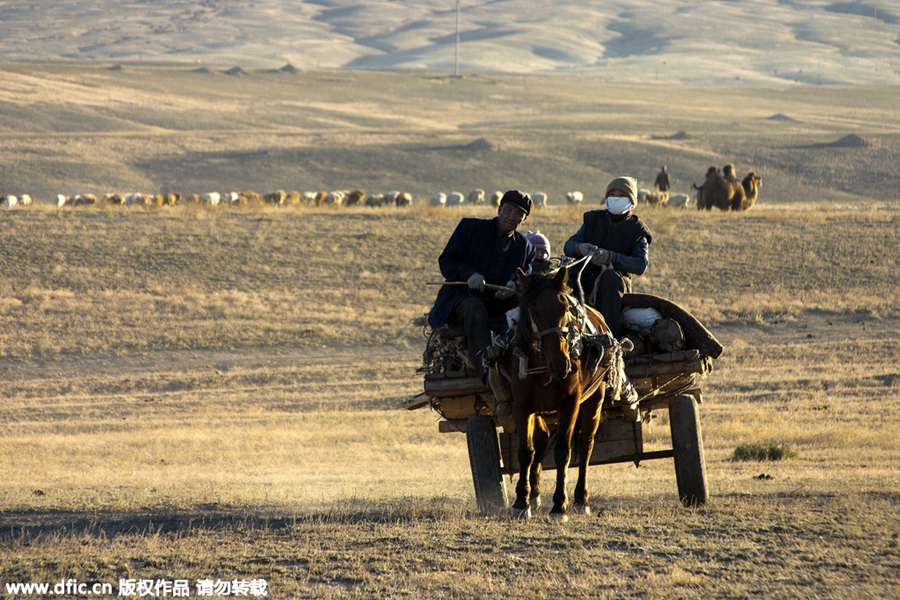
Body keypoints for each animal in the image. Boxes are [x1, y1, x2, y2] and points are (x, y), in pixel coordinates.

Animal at [510, 266, 624, 520]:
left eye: (565, 309)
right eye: (534, 311)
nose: (562, 365)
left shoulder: (569, 403)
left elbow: (563, 451)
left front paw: (559, 505)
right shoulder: (522, 405)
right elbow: (525, 452)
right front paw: (521, 503)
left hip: (594, 399)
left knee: (585, 445)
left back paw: (581, 499)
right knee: (541, 439)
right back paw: (534, 495)